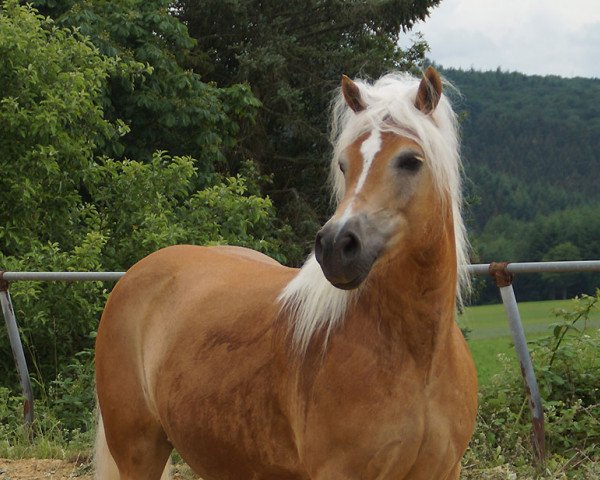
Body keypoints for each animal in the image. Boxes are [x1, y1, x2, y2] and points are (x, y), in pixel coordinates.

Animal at [94, 67, 478, 480]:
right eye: (344, 164)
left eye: (410, 161)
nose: (336, 246)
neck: (417, 356)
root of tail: (136, 275)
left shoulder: (444, 470)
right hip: (139, 451)